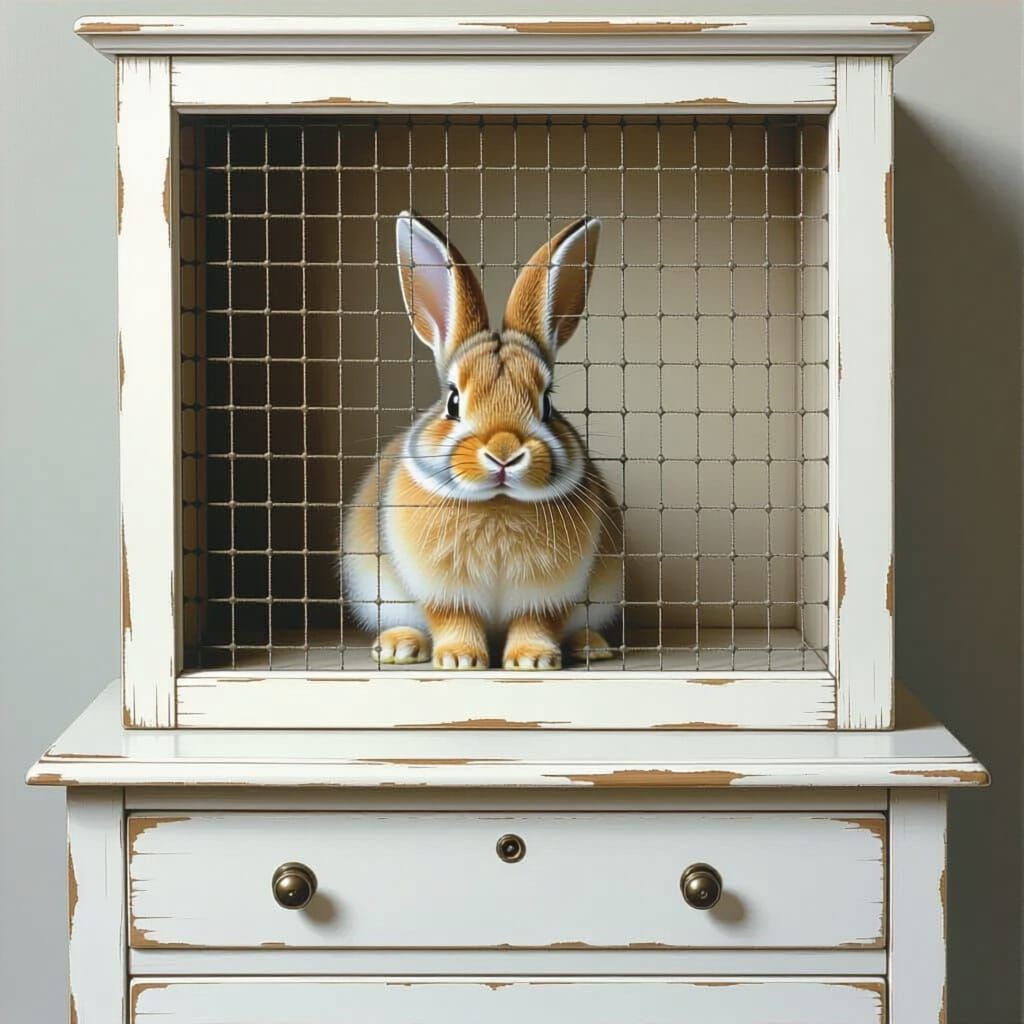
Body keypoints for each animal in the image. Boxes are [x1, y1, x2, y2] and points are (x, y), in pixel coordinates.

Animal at [341, 210, 622, 670]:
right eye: (453, 401)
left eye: (547, 403)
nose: (504, 453)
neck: (498, 503)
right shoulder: (443, 593)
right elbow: (454, 618)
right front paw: (460, 660)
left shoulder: (548, 596)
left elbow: (536, 622)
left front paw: (533, 661)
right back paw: (400, 647)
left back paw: (591, 646)